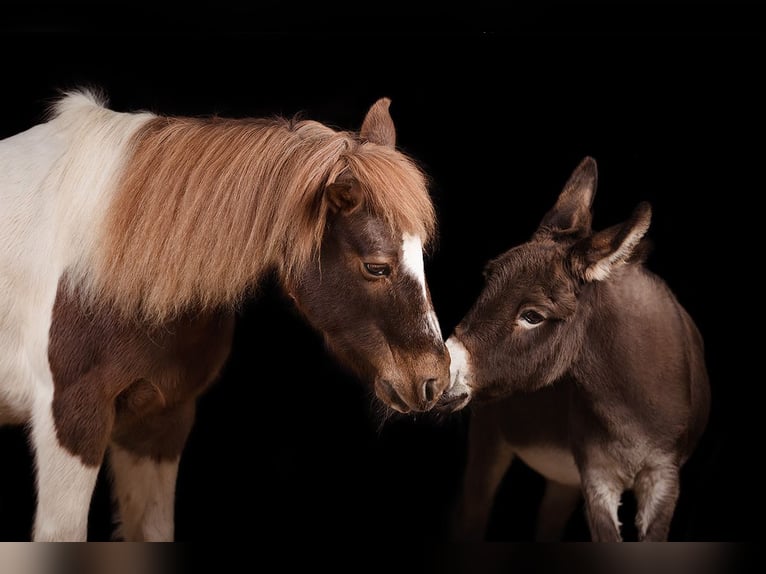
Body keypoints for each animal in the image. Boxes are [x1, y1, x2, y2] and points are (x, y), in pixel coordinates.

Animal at [440, 159, 712, 544]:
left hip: (563, 479)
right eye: (486, 283)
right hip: (490, 436)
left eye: (532, 316)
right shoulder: (597, 477)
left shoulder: (664, 479)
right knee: (472, 516)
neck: (631, 407)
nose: (435, 372)